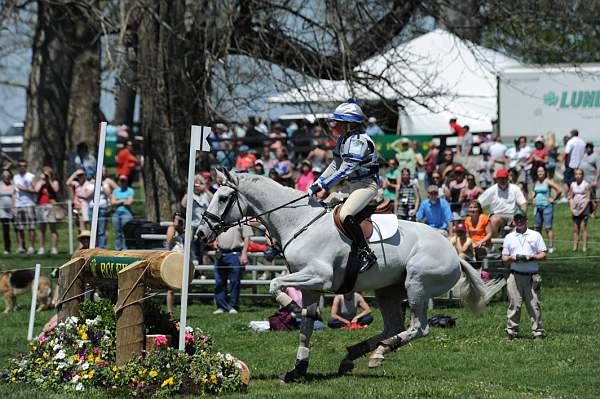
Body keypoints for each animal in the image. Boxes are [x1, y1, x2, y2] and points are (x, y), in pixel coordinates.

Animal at [197, 170, 496, 382]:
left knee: (418, 327)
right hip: (388, 290)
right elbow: (306, 326)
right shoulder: (310, 286)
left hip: (416, 285)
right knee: (393, 325)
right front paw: (297, 370)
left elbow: (274, 284)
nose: (201, 233)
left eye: (223, 198)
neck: (299, 224)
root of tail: (454, 254)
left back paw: (380, 351)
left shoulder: (318, 277)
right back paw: (358, 354)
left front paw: (289, 307)